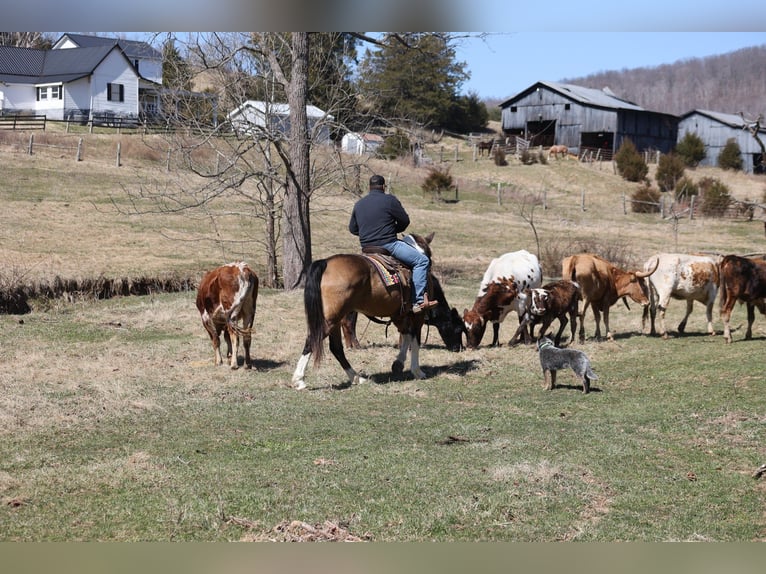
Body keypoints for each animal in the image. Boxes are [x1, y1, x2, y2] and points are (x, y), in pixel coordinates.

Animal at [292, 234, 438, 392]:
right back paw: (299, 380)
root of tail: (325, 262)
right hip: (330, 320)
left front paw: (398, 363)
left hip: (335, 320)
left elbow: (405, 336)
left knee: (336, 348)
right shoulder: (418, 315)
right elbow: (415, 340)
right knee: (313, 340)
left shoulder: (399, 315)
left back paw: (356, 378)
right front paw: (417, 371)